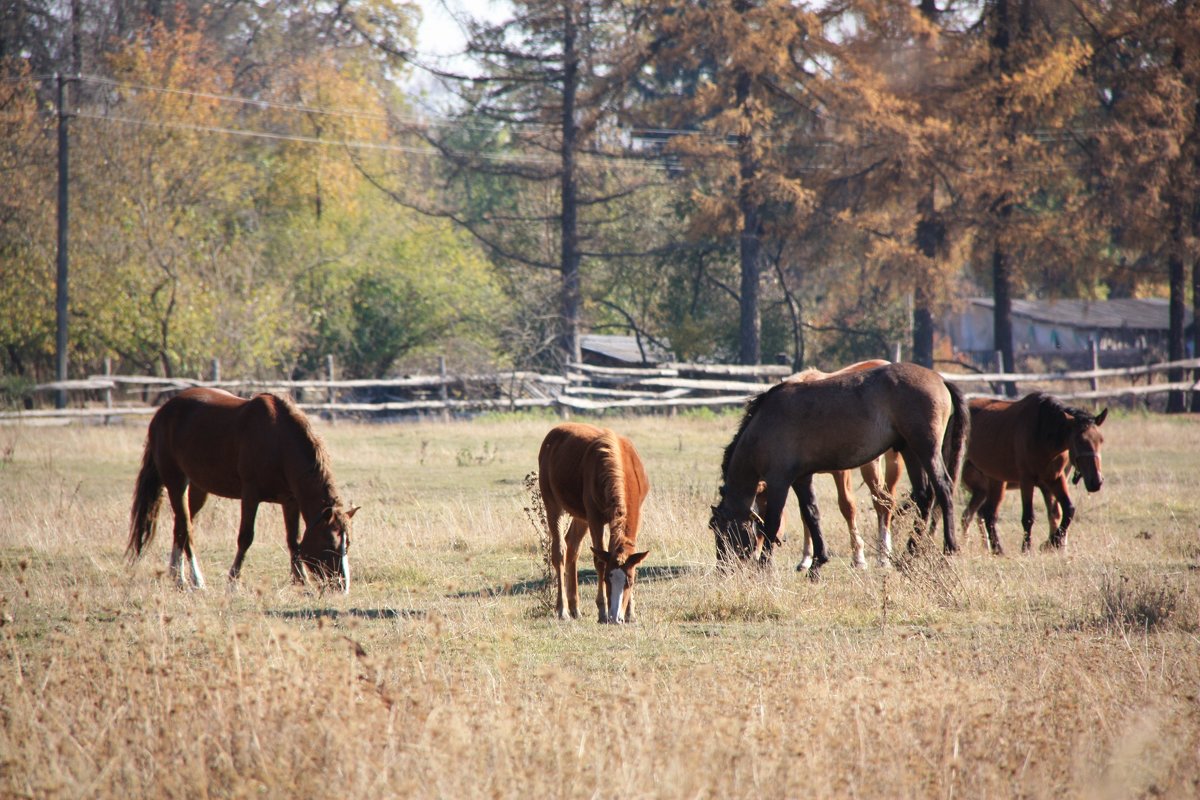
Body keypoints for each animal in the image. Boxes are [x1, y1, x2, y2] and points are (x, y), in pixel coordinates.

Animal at [130, 388, 357, 594]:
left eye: (348, 543)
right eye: (330, 543)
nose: (342, 587)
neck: (278, 441)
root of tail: (162, 412)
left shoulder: (290, 501)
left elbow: (294, 540)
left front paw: (301, 581)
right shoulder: (250, 496)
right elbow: (246, 538)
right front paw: (233, 582)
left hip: (197, 488)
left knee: (180, 525)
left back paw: (177, 576)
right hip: (175, 482)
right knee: (186, 529)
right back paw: (194, 580)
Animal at [542, 422, 652, 623]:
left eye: (630, 581)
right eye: (607, 579)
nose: (616, 617)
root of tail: (554, 433)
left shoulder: (636, 514)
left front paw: (630, 613)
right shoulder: (595, 518)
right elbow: (600, 560)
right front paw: (602, 611)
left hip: (581, 517)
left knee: (572, 547)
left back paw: (575, 608)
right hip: (553, 504)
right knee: (560, 550)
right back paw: (563, 610)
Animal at [705, 359, 969, 578]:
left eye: (721, 531)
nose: (722, 569)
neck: (764, 424)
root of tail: (940, 379)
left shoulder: (779, 481)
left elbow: (772, 522)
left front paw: (764, 566)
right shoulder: (802, 479)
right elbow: (812, 515)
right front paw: (817, 563)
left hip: (925, 449)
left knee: (943, 489)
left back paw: (949, 550)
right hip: (909, 450)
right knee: (924, 496)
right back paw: (909, 554)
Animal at [964, 391, 1104, 554]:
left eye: (1101, 440)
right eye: (1079, 440)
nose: (1096, 481)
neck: (1042, 430)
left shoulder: (1055, 479)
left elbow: (1068, 510)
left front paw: (1052, 542)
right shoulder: (1027, 480)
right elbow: (1028, 516)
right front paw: (1027, 548)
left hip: (996, 480)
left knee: (988, 514)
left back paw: (997, 549)